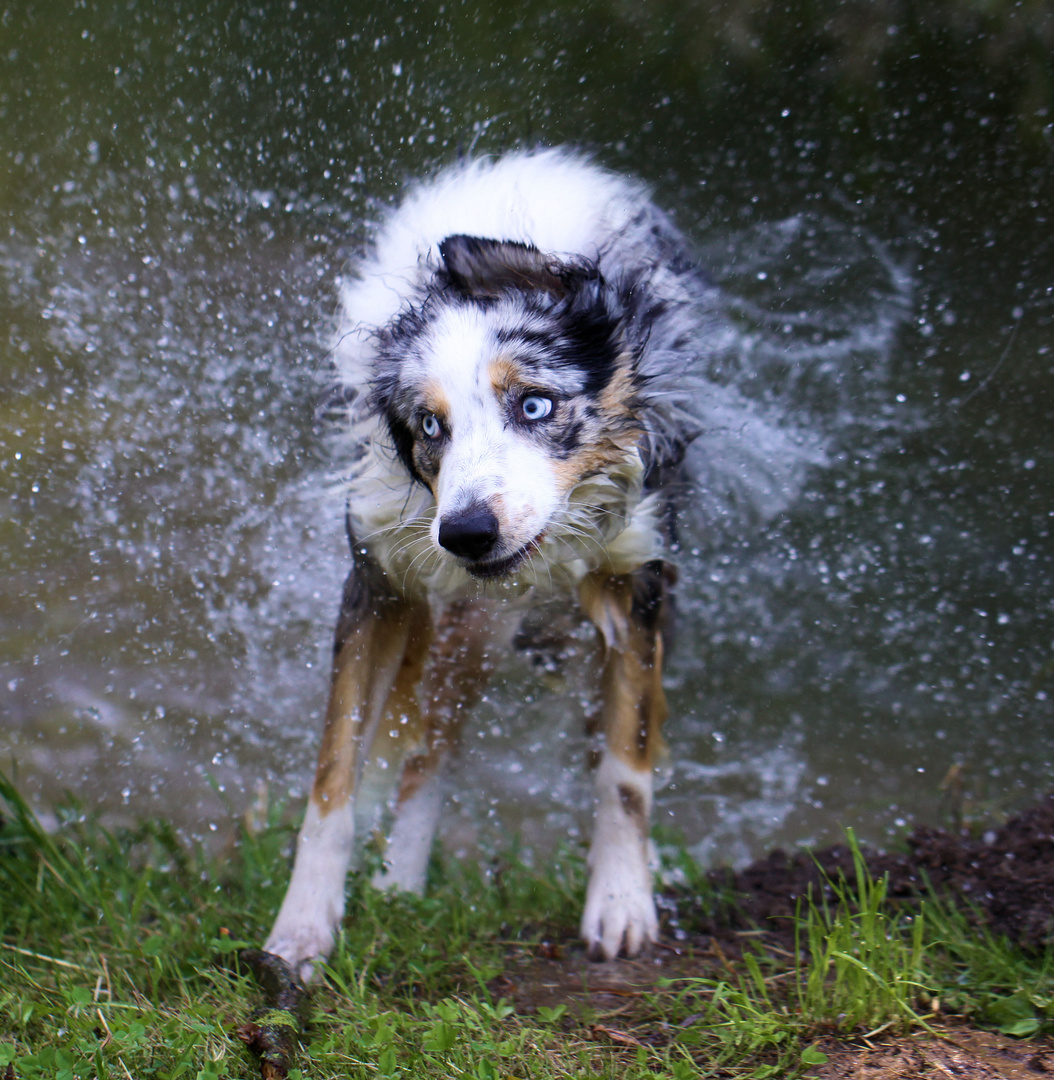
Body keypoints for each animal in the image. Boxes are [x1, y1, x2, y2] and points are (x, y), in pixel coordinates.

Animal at [261, 147, 807, 984]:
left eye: (535, 405)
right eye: (431, 426)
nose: (466, 533)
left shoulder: (635, 582)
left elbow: (624, 765)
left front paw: (621, 904)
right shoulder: (379, 584)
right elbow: (334, 775)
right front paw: (300, 931)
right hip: (471, 625)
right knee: (431, 748)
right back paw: (400, 878)